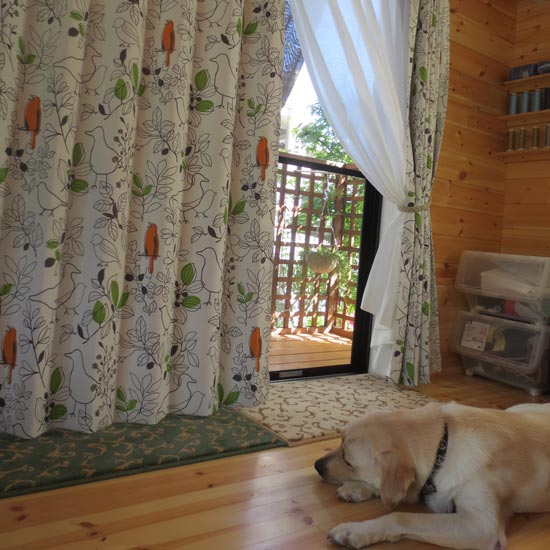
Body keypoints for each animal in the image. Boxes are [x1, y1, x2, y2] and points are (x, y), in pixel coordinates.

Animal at [315, 401, 550, 549]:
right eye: (340, 440)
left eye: (347, 460)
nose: (317, 465)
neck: (442, 448)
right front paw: (358, 488)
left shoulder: (483, 526)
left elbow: (400, 516)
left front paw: (355, 531)